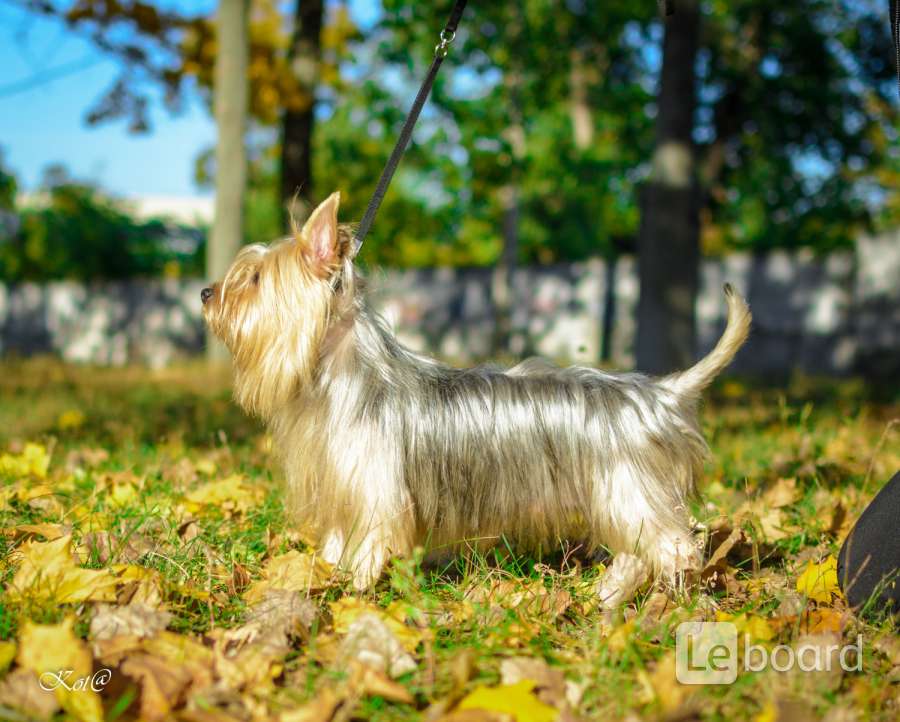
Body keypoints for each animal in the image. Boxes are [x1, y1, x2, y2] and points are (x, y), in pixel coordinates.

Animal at [204, 194, 752, 588]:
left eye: (254, 279)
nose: (207, 292)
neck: (341, 375)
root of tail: (660, 394)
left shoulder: (379, 495)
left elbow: (369, 550)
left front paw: (353, 595)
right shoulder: (343, 488)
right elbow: (338, 544)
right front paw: (326, 581)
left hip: (628, 490)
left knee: (673, 547)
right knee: (640, 552)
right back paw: (610, 595)